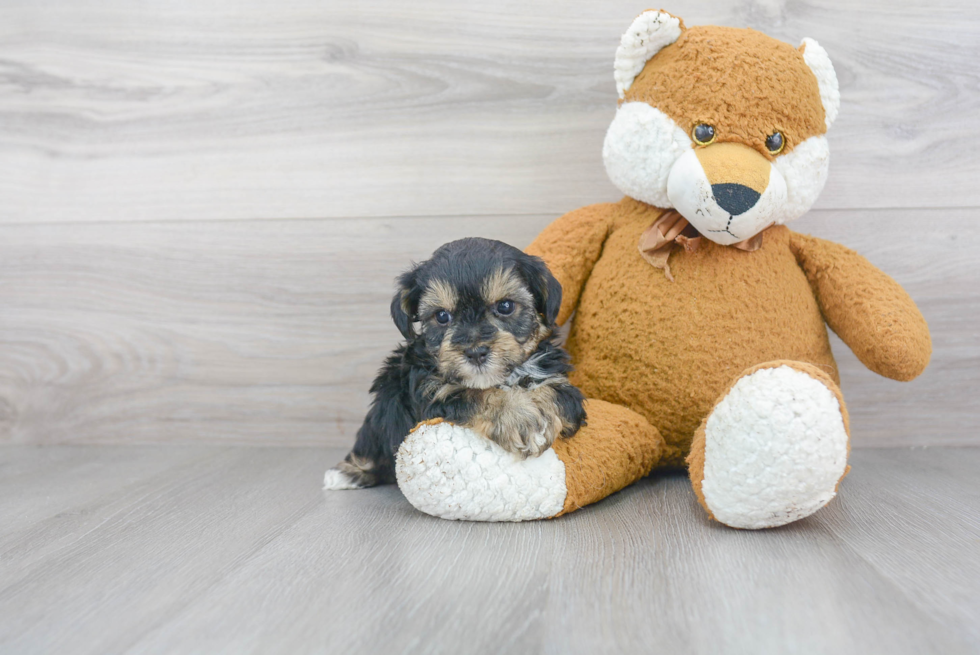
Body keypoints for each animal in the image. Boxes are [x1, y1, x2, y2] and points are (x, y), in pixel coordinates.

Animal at [322, 238, 584, 490]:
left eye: (505, 306)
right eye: (441, 316)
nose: (475, 352)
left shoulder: (558, 379)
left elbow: (554, 391)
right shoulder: (431, 394)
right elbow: (475, 393)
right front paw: (520, 416)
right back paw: (348, 473)